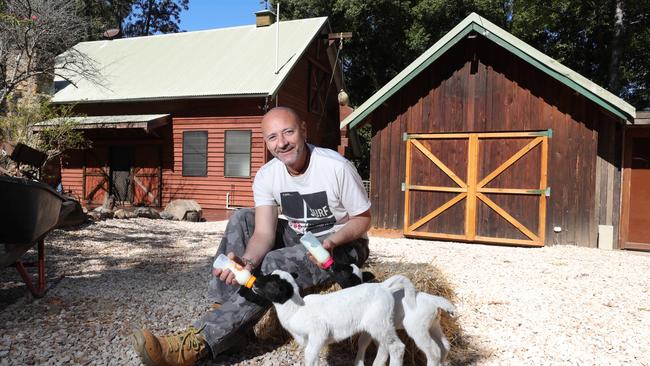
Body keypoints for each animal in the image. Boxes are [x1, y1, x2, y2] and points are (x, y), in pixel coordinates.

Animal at [251, 268, 412, 366]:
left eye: (272, 282)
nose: (254, 282)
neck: (296, 310)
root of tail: (383, 287)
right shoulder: (310, 340)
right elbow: (314, 358)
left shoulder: (318, 332)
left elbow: (309, 355)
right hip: (377, 325)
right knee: (383, 347)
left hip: (379, 323)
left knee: (397, 347)